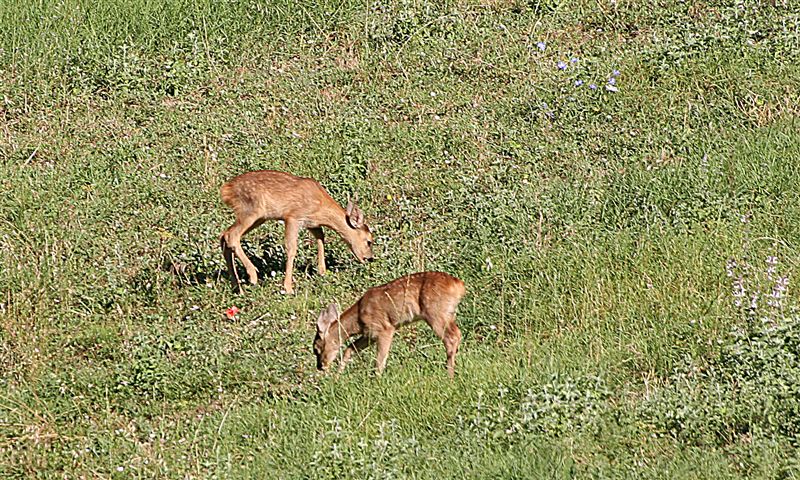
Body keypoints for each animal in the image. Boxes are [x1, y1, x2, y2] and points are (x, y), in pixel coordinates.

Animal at [219, 171, 376, 294]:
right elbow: (291, 248)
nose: (370, 258)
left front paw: (322, 271)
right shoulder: (293, 217)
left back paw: (237, 287)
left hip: (259, 217)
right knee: (231, 235)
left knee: (224, 235)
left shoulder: (311, 223)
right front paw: (288, 288)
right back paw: (252, 275)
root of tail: (225, 190)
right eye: (369, 241)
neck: (321, 208)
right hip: (251, 210)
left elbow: (321, 237)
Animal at [310, 272, 462, 376]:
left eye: (316, 349)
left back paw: (449, 375)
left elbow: (380, 359)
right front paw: (337, 376)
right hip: (448, 314)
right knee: (457, 334)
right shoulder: (369, 334)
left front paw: (377, 380)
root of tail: (459, 285)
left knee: (452, 337)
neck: (359, 317)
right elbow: (350, 348)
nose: (320, 366)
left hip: (436, 313)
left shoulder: (385, 328)